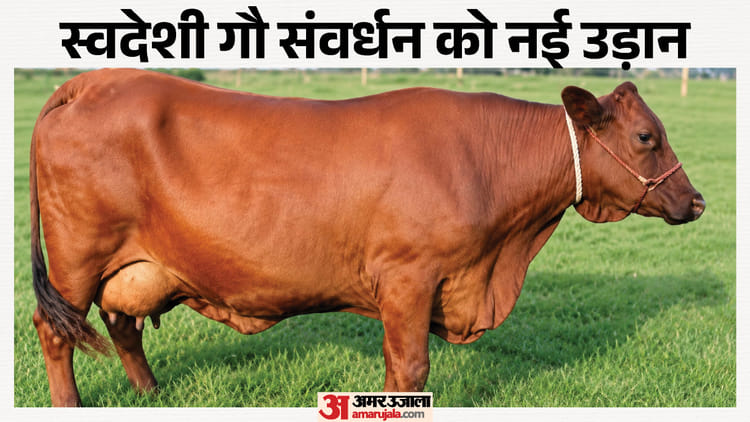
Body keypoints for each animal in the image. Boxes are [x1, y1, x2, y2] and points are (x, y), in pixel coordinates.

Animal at [29, 68, 705, 406]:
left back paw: (152, 395)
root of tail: (91, 82)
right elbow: (408, 369)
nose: (696, 200)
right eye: (647, 136)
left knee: (122, 323)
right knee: (57, 329)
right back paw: (72, 407)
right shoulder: (408, 278)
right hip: (76, 257)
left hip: (131, 262)